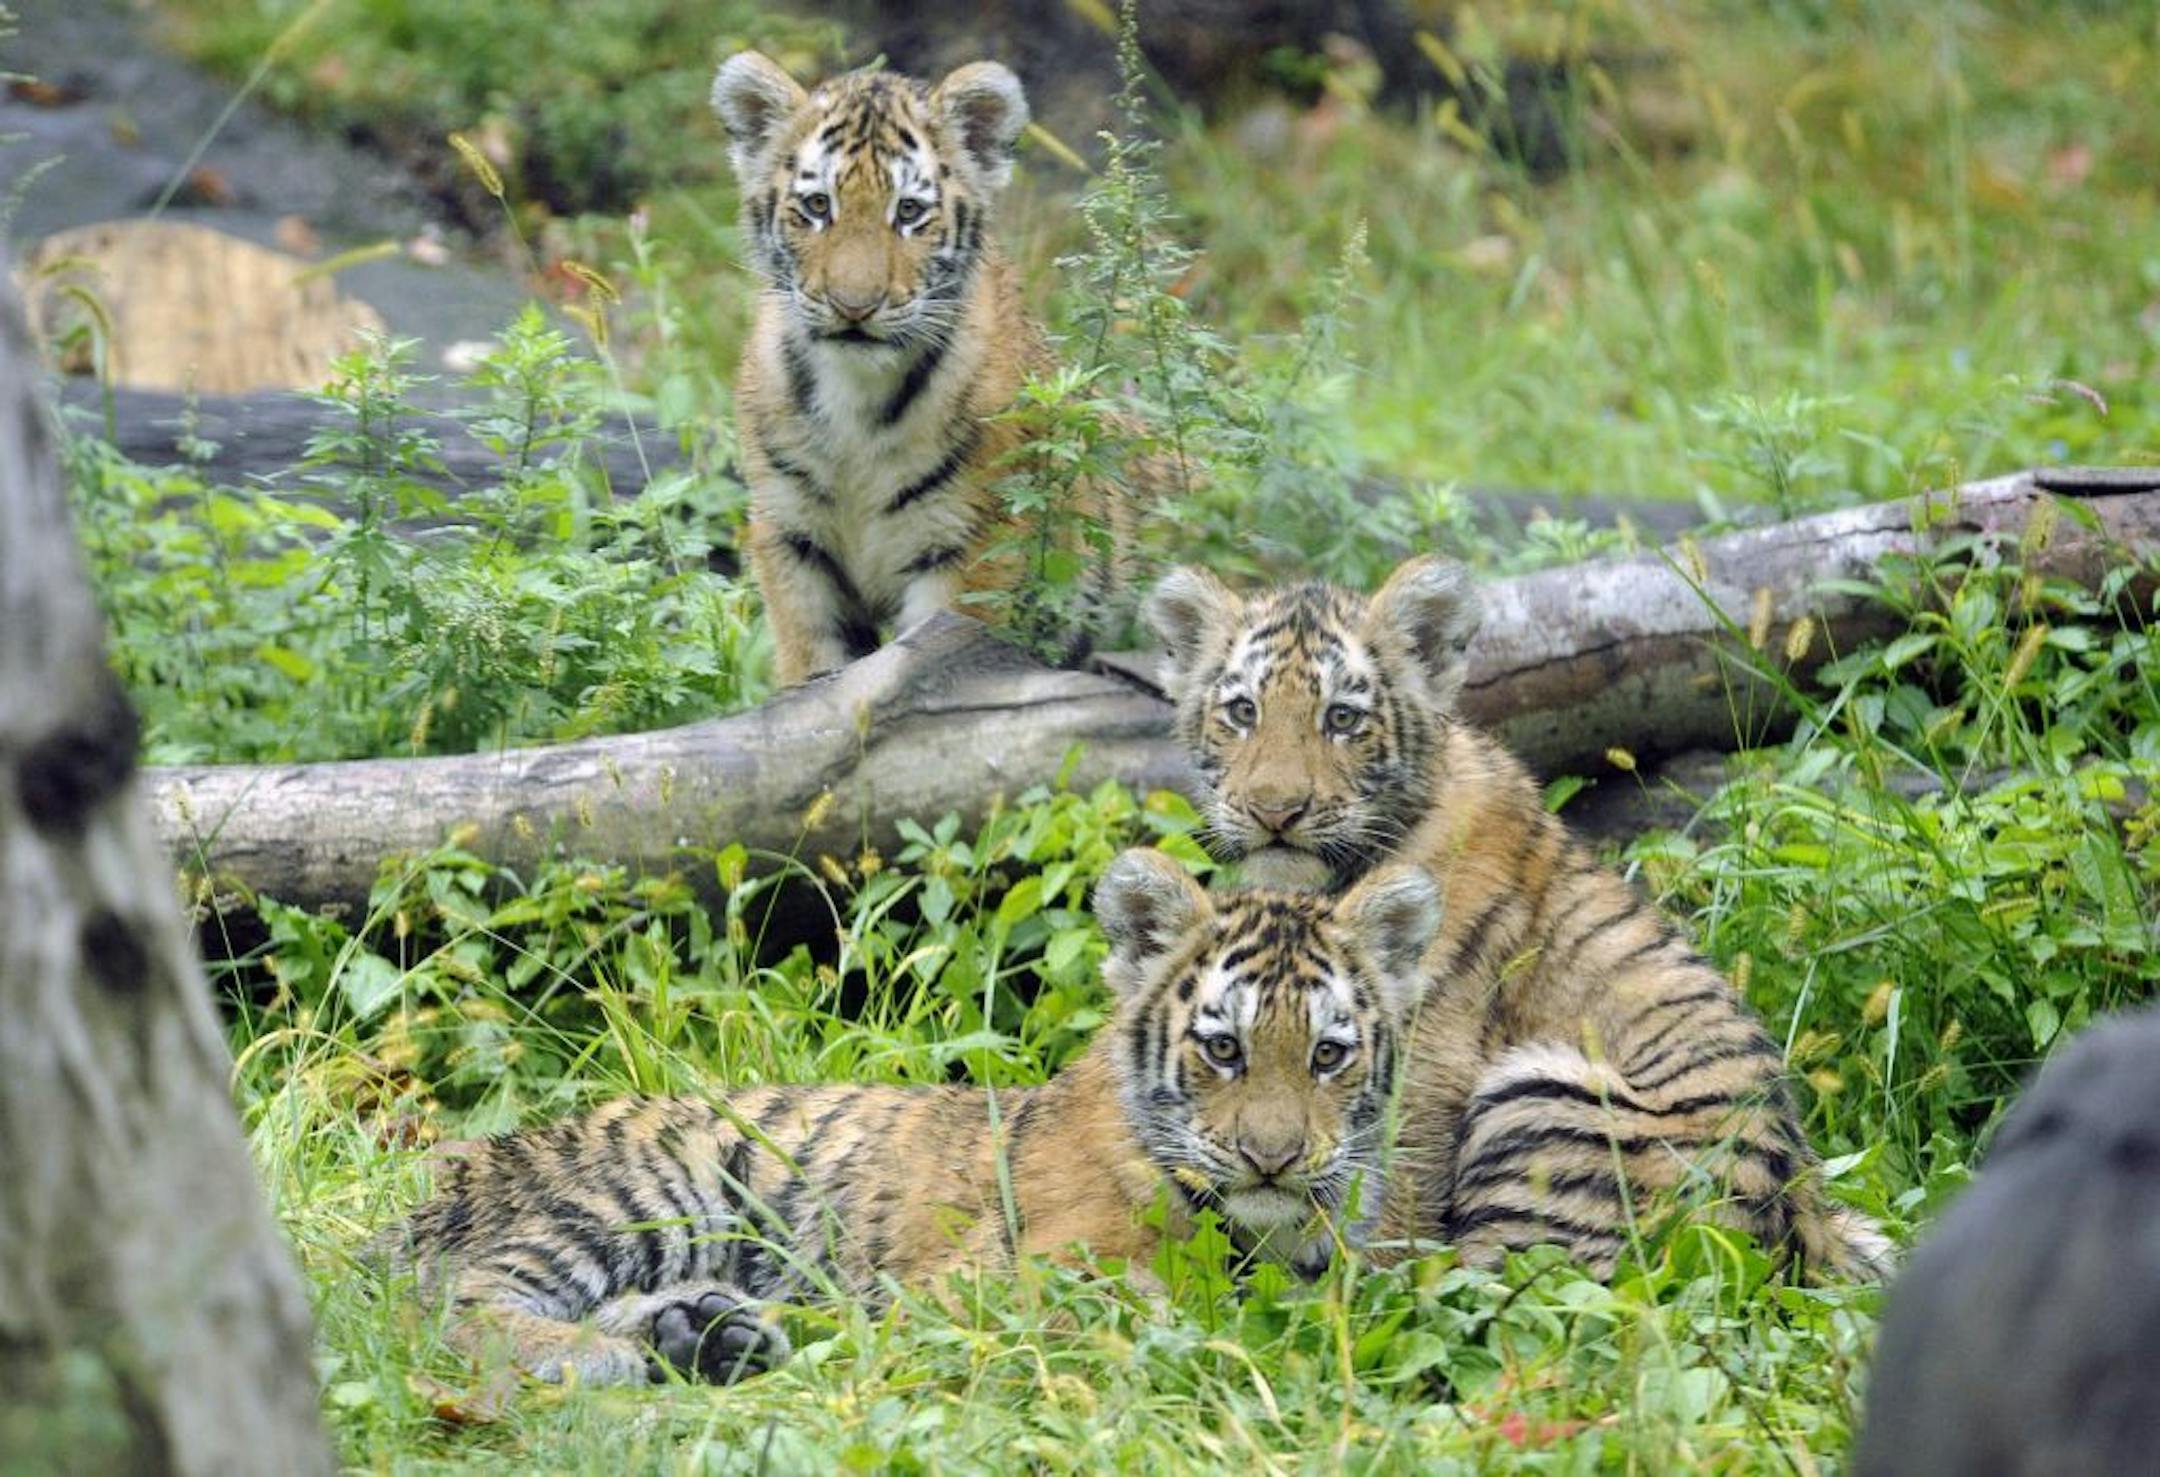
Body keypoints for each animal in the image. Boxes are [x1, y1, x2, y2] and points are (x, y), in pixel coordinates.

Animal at [373, 849, 1444, 1385]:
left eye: (1328, 1054)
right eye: (1222, 1047)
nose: (1273, 1158)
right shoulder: (993, 1275)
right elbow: (1120, 1301)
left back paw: (707, 1333)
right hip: (635, 1195)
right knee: (444, 1306)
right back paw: (609, 1356)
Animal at [713, 52, 1118, 686]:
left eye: (908, 211)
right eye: (818, 206)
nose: (854, 306)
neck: (855, 396)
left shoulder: (970, 546)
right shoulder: (793, 539)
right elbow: (812, 667)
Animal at [1144, 556, 1893, 1280]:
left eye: (1343, 718)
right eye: (1243, 711)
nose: (1275, 810)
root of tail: (1802, 1221)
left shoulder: (1427, 1060)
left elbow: (1390, 1203)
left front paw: (1351, 1301)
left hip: (1540, 1096)